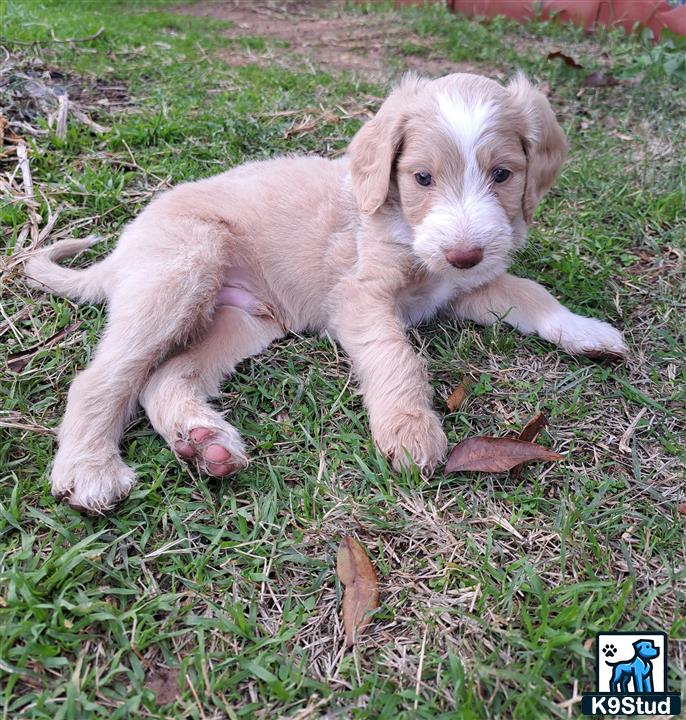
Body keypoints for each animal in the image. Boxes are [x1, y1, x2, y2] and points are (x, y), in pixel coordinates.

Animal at [25, 71, 628, 512]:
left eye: (502, 174)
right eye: (423, 178)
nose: (464, 254)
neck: (408, 231)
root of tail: (122, 248)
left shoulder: (467, 287)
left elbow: (531, 293)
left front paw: (586, 331)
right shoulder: (361, 296)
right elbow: (394, 354)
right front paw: (408, 427)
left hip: (239, 320)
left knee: (163, 379)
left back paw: (204, 441)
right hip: (181, 272)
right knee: (102, 378)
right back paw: (88, 469)